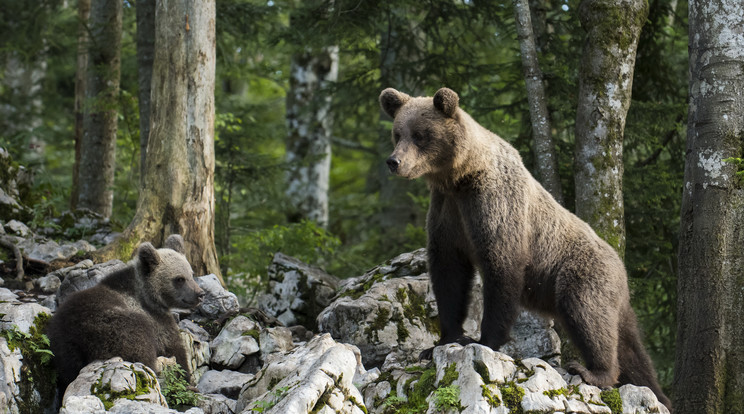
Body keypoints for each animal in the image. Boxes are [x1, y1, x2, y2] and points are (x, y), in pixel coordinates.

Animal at [380, 85, 672, 410]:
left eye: (420, 134)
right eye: (397, 133)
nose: (394, 161)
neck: (460, 176)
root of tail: (621, 267)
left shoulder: (494, 205)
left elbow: (501, 268)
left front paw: (483, 341)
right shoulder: (448, 213)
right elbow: (448, 274)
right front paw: (441, 342)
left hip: (581, 274)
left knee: (588, 315)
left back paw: (594, 371)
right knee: (631, 349)